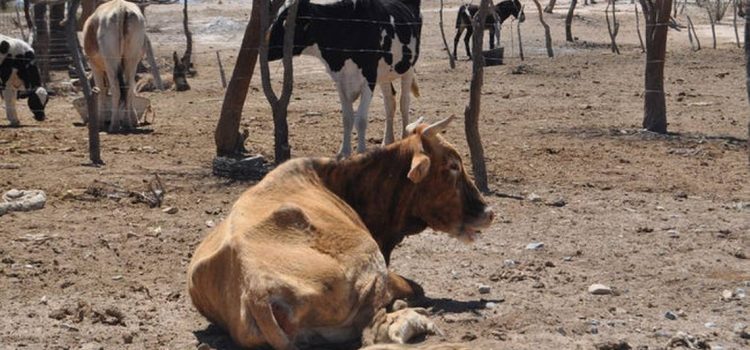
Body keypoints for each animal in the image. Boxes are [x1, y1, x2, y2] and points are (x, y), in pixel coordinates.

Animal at [82, 0, 147, 133]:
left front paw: (100, 122)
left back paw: (114, 125)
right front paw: (134, 120)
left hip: (111, 63)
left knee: (116, 89)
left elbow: (102, 91)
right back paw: (127, 123)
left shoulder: (95, 66)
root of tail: (121, 7)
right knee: (128, 88)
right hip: (131, 60)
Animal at [268, 0, 424, 159]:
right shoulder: (340, 81)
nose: (266, 49)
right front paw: (344, 152)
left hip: (408, 67)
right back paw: (387, 142)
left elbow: (361, 119)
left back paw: (404, 138)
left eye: (286, 23)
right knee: (389, 102)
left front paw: (360, 152)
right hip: (384, 75)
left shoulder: (369, 78)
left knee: (404, 102)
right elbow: (347, 118)